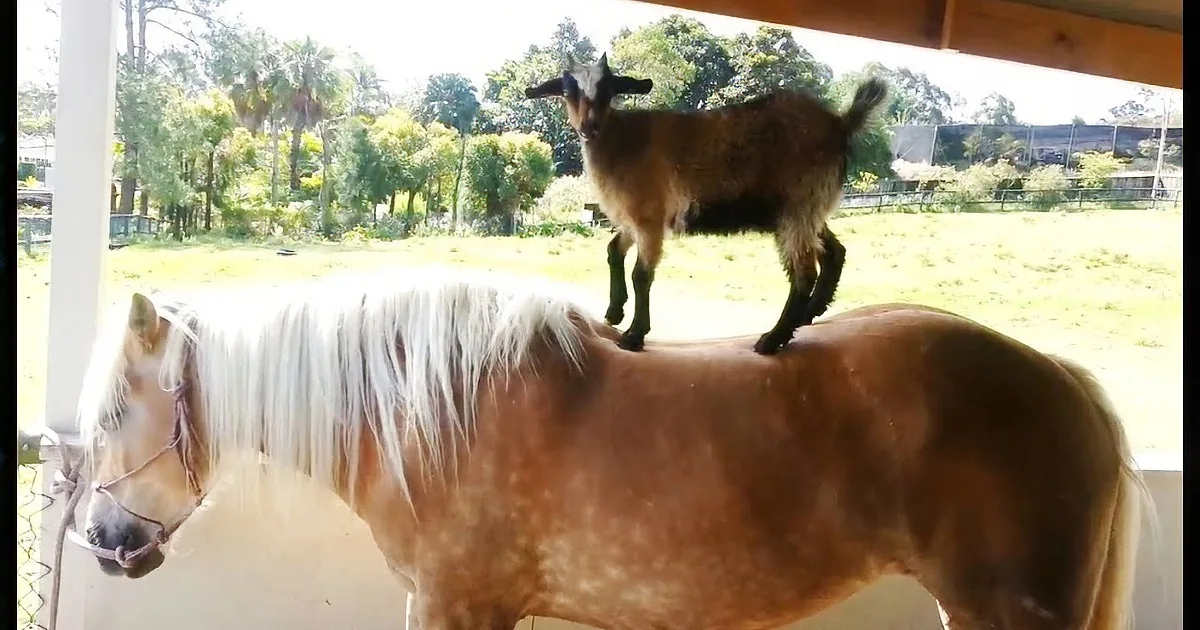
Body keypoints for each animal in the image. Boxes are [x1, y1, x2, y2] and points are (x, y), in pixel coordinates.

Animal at [525, 53, 889, 355]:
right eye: (568, 90)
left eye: (607, 89)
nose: (589, 127)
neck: (620, 139)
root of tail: (841, 124)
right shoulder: (632, 220)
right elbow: (614, 251)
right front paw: (615, 312)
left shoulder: (649, 218)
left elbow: (641, 275)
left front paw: (634, 335)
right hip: (809, 209)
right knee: (835, 251)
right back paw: (810, 312)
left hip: (799, 204)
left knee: (803, 274)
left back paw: (773, 339)